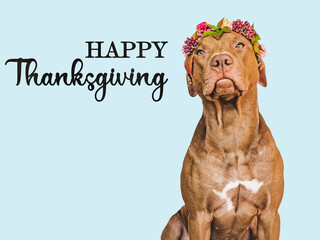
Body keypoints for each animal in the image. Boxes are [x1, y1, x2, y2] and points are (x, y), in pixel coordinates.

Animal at [161, 31, 284, 239]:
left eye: (240, 45)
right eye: (200, 51)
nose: (220, 60)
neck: (232, 131)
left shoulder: (269, 214)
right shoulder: (199, 216)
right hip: (174, 223)